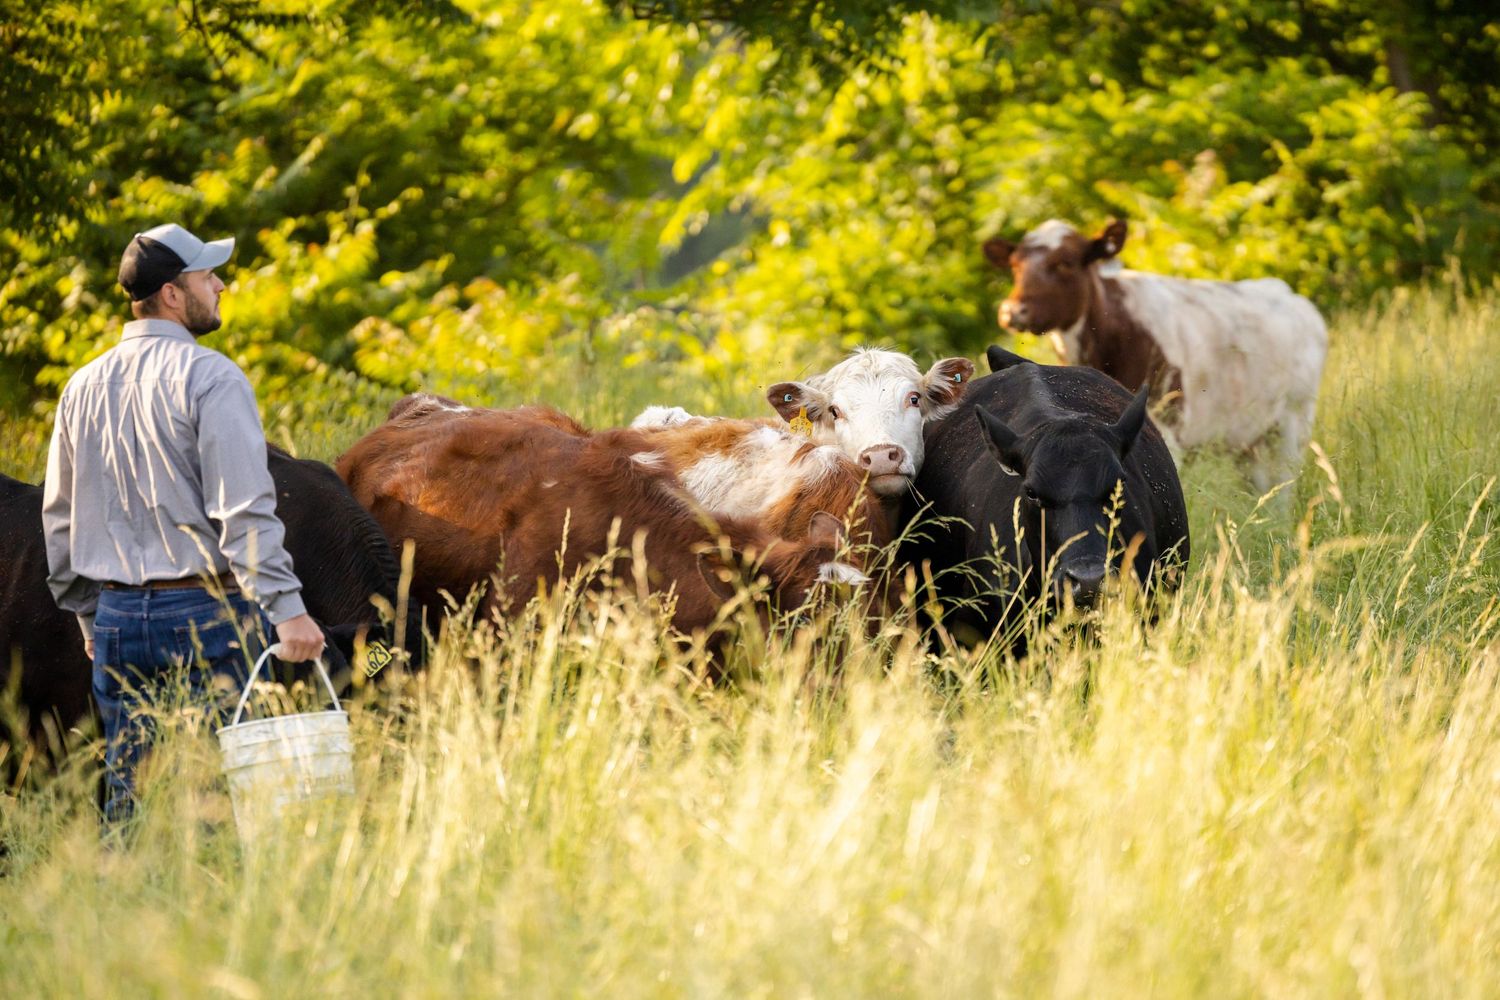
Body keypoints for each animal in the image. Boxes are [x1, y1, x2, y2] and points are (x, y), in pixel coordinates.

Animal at [983, 219, 1328, 494]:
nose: (1012, 311)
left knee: (1283, 487)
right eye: (1015, 266)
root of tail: (1290, 295)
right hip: (1248, 437)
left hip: (1294, 420)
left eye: (1065, 262)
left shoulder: (1169, 425)